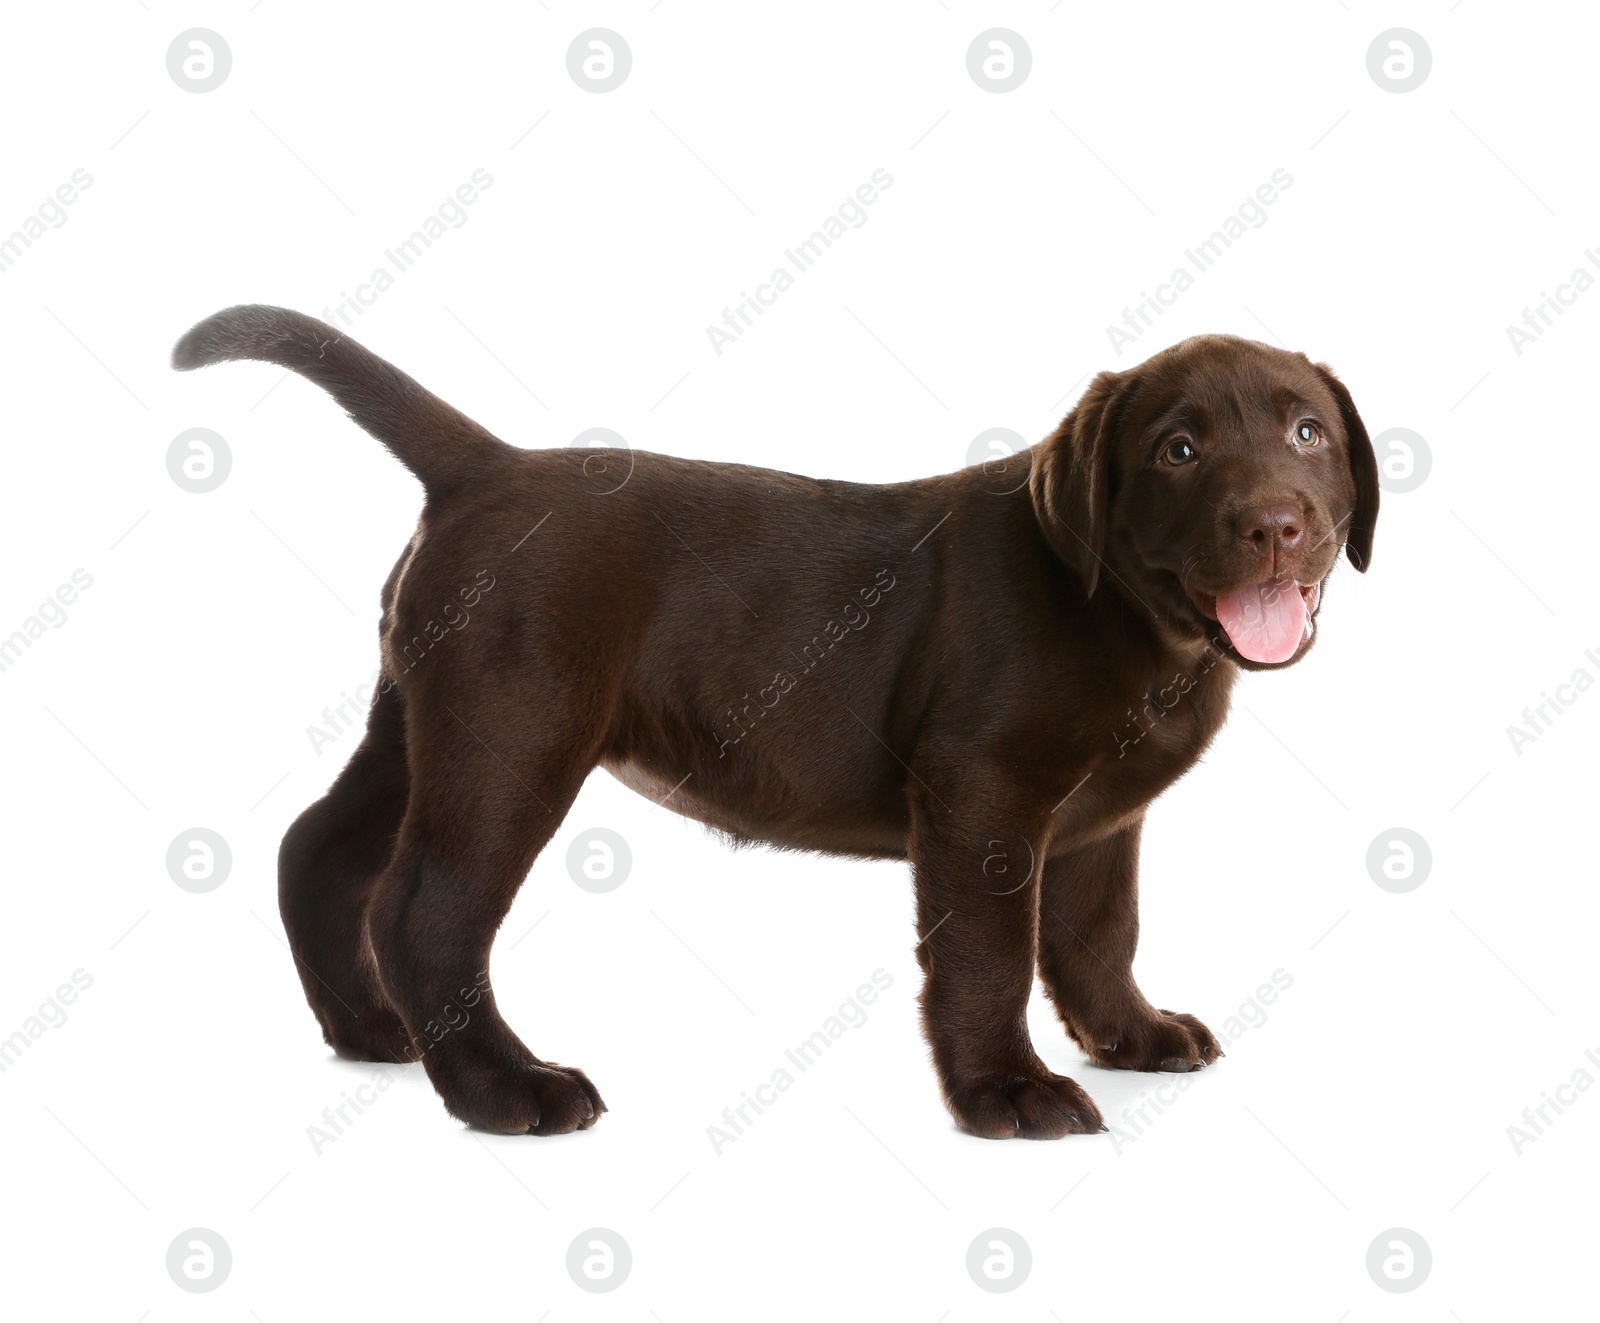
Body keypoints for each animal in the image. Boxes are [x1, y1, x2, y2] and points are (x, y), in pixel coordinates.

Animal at [172, 307, 1376, 1139]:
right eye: (1178, 450)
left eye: (1307, 432)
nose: (1277, 524)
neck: (1143, 633)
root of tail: (488, 466)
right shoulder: (983, 794)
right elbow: (987, 954)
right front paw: (1006, 1092)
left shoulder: (1096, 820)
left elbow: (1095, 934)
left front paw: (1130, 1036)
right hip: (513, 731)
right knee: (426, 908)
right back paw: (500, 1086)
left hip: (421, 719)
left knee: (318, 849)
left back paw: (372, 1033)